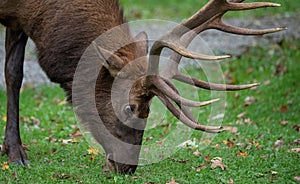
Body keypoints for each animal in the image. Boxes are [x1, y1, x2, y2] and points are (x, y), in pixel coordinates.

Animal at [0, 0, 286, 174]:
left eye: (149, 111)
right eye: (130, 107)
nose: (128, 168)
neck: (37, 9)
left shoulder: (18, 19)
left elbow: (13, 73)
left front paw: (10, 149)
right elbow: (14, 74)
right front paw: (16, 153)